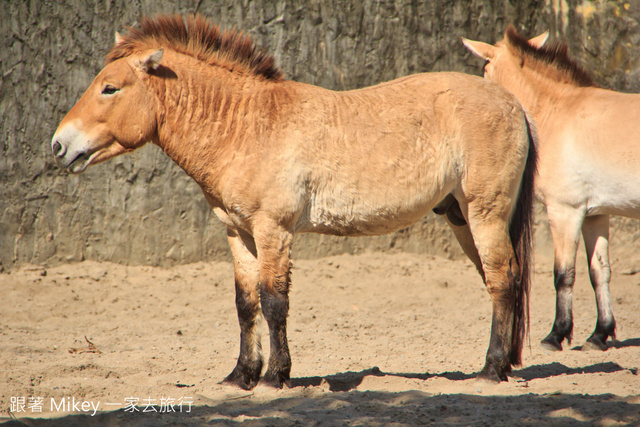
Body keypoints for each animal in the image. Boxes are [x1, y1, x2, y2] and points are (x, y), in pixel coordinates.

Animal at [52, 15, 536, 388]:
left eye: (110, 88)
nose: (59, 145)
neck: (246, 126)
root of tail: (514, 103)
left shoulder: (273, 230)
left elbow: (273, 301)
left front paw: (274, 377)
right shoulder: (239, 233)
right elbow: (246, 303)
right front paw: (241, 376)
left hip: (485, 213)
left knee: (502, 279)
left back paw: (491, 371)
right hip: (461, 217)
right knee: (500, 279)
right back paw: (505, 364)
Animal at [464, 25, 640, 352]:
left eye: (485, 69)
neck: (558, 112)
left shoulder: (564, 210)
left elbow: (563, 274)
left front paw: (556, 334)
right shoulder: (595, 213)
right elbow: (599, 272)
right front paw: (599, 334)